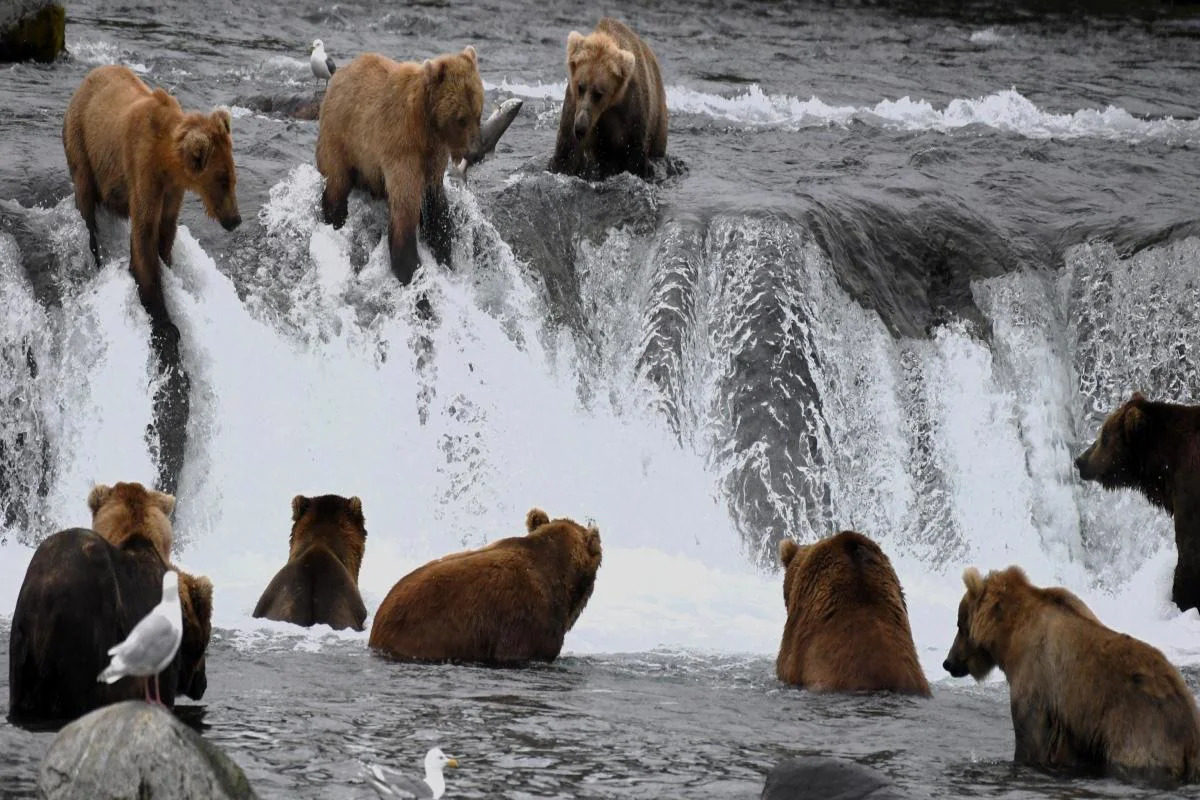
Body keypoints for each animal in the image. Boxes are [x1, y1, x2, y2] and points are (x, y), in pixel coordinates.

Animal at [63, 64, 241, 329]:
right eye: (222, 180)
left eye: (233, 177)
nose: (235, 219)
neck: (165, 159)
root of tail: (85, 80)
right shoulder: (143, 169)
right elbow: (144, 232)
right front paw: (163, 318)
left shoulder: (172, 188)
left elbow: (166, 227)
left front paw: (166, 262)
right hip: (82, 140)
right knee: (84, 198)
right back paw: (94, 252)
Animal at [316, 48, 483, 286]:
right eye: (461, 119)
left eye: (478, 114)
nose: (476, 152)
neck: (427, 125)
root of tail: (341, 73)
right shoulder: (401, 148)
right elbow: (404, 211)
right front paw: (411, 270)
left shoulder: (433, 158)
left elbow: (436, 206)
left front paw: (444, 252)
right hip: (341, 137)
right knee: (335, 186)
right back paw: (333, 218)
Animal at [548, 18, 668, 180]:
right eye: (580, 87)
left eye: (599, 93)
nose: (580, 128)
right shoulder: (573, 107)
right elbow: (566, 155)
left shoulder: (631, 111)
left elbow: (634, 157)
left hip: (658, 123)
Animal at [944, 565, 1200, 783]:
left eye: (959, 623)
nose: (948, 662)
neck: (1011, 637)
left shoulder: (1034, 679)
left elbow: (1031, 737)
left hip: (1140, 733)